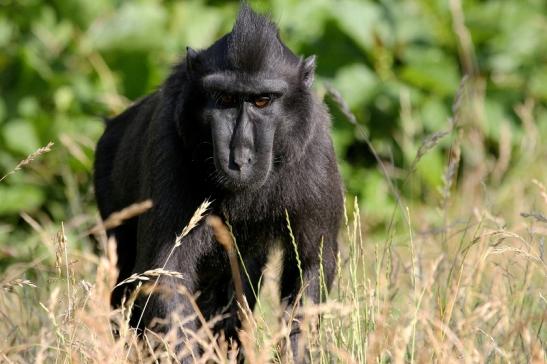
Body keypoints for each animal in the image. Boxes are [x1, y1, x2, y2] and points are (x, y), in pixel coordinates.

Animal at [94, 4, 342, 362]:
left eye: (263, 101)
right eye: (224, 98)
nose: (239, 158)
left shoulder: (316, 146)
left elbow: (310, 265)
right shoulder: (169, 139)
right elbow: (167, 271)